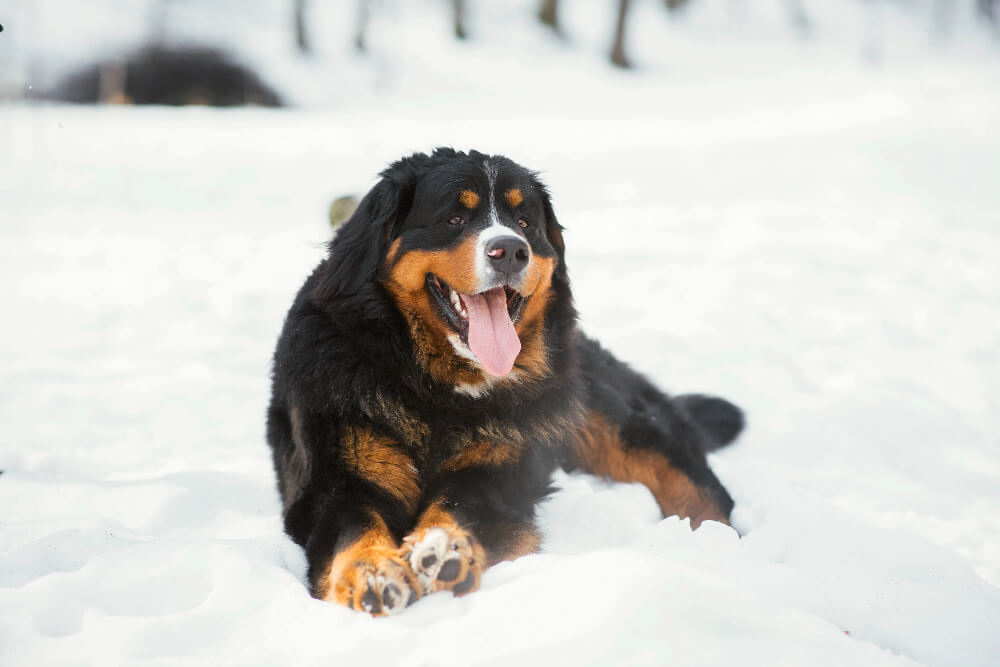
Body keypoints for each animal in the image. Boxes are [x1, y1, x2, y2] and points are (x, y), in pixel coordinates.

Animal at [266, 149, 744, 620]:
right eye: (455, 218)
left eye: (525, 223)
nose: (511, 250)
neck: (434, 390)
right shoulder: (336, 480)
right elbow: (355, 528)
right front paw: (373, 574)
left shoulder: (496, 473)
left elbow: (459, 508)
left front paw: (443, 551)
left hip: (615, 422)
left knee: (701, 490)